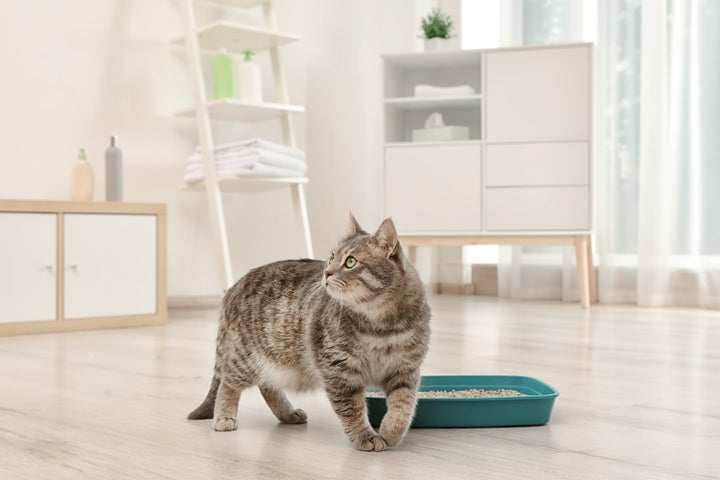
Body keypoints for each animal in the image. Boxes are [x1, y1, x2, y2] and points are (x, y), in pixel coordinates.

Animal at [188, 216, 430, 452]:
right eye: (331, 258)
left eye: (350, 262)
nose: (326, 272)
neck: (381, 325)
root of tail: (234, 287)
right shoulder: (339, 371)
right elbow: (352, 410)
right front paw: (365, 437)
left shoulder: (405, 370)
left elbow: (403, 407)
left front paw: (391, 433)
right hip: (246, 359)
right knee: (228, 383)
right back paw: (224, 416)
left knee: (267, 387)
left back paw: (287, 414)